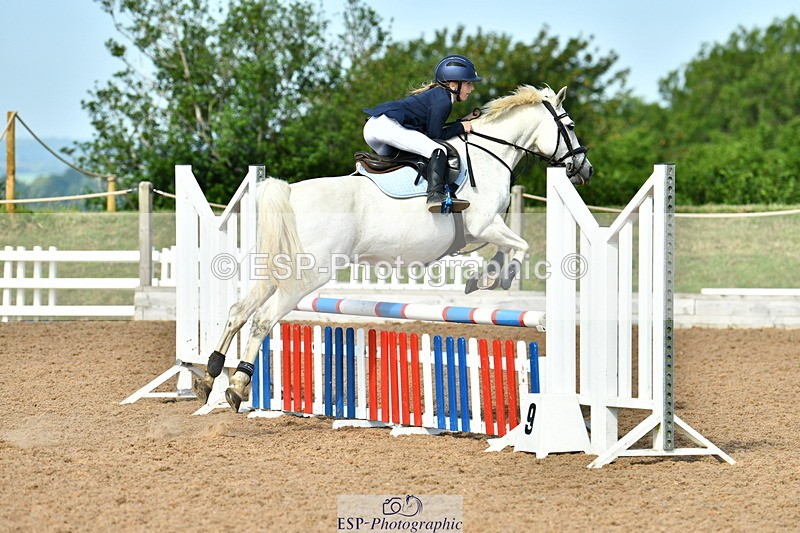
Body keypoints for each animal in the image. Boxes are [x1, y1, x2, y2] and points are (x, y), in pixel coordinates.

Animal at [192, 84, 594, 412]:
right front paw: (494, 280)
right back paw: (237, 386)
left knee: (238, 311)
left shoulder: (484, 231)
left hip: (276, 268)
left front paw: (481, 279)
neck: (487, 156)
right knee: (262, 318)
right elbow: (518, 247)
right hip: (307, 275)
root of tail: (289, 192)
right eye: (571, 126)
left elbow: (504, 249)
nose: (585, 169)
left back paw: (209, 375)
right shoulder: (485, 225)